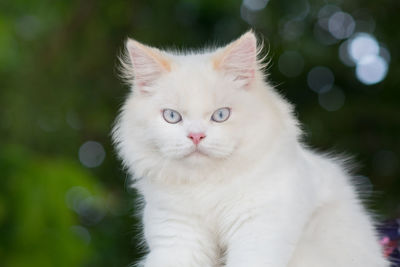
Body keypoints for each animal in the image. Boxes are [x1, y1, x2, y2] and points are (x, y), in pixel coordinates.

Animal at [112, 31, 390, 267]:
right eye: (172, 116)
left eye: (221, 115)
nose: (196, 136)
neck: (206, 187)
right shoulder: (178, 238)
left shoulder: (258, 232)